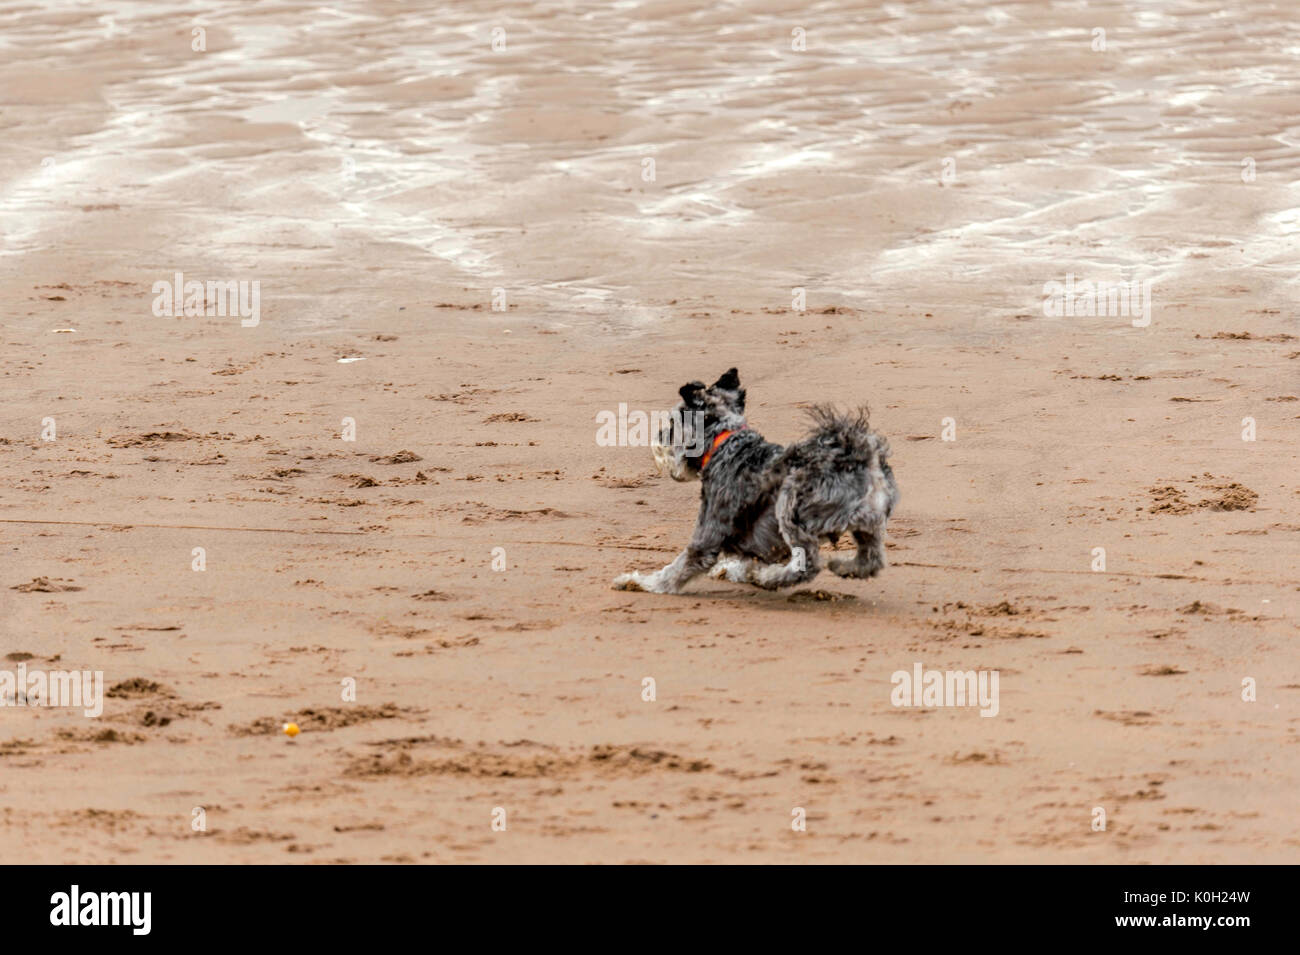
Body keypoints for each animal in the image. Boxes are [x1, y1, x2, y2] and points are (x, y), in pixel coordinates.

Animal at [608, 369, 894, 595]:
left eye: (671, 424)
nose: (657, 438)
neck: (724, 442)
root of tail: (857, 455)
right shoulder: (762, 542)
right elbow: (747, 559)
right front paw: (732, 571)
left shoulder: (708, 533)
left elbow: (676, 569)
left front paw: (638, 582)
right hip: (868, 524)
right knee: (872, 559)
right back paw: (843, 566)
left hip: (789, 508)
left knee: (808, 564)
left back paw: (768, 579)